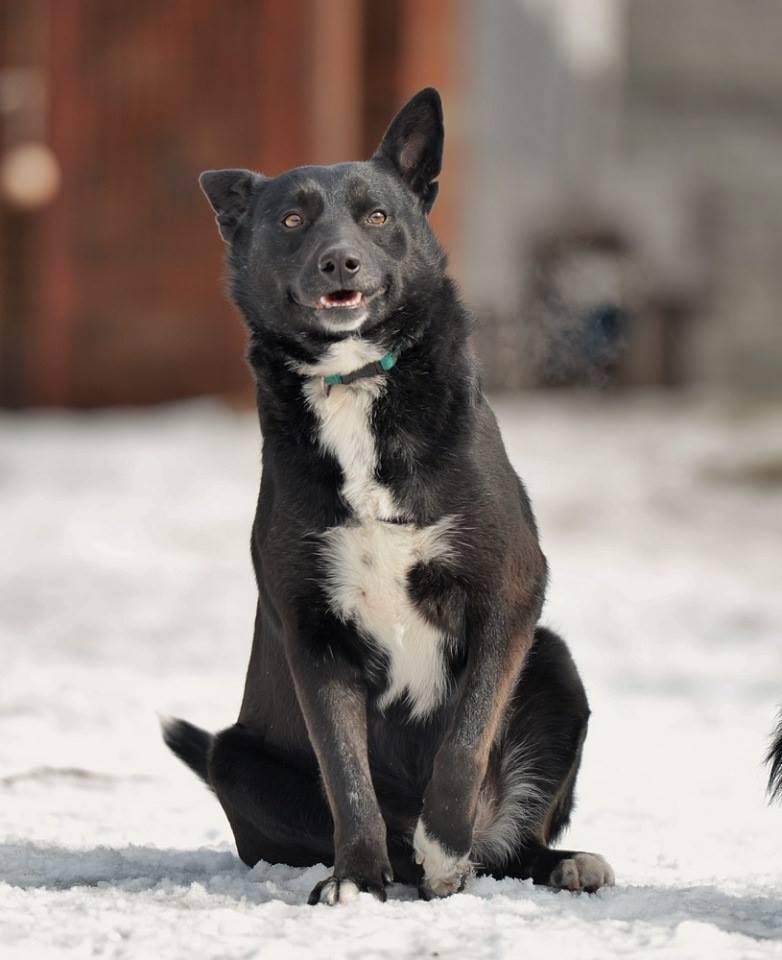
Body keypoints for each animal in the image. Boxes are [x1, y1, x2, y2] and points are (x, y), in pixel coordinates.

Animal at [162, 86, 616, 904]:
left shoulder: (508, 595)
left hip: (554, 661)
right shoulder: (315, 631)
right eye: (291, 220)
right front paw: (355, 878)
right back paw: (395, 863)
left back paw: (543, 860)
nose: (339, 260)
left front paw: (445, 846)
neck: (356, 383)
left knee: (509, 845)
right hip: (234, 757)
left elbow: (465, 740)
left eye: (376, 216)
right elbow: (347, 776)